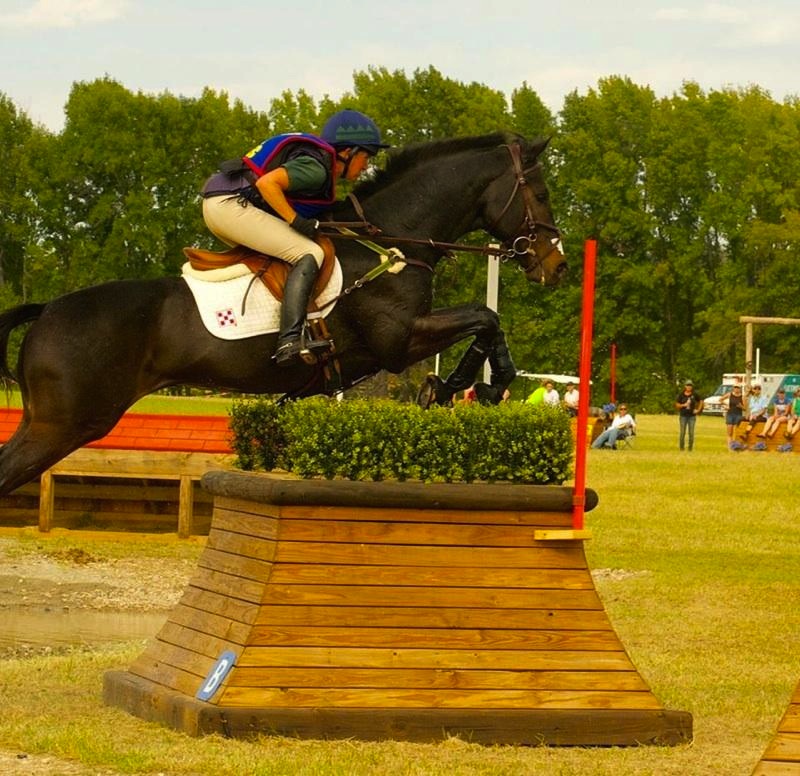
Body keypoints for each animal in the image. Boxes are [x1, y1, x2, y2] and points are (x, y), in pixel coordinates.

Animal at [0, 132, 565, 495]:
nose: (555, 265)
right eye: (540, 193)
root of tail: (47, 309)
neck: (393, 239)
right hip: (64, 423)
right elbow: (483, 317)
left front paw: (476, 386)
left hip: (48, 421)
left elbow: (489, 323)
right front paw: (457, 386)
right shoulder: (399, 340)